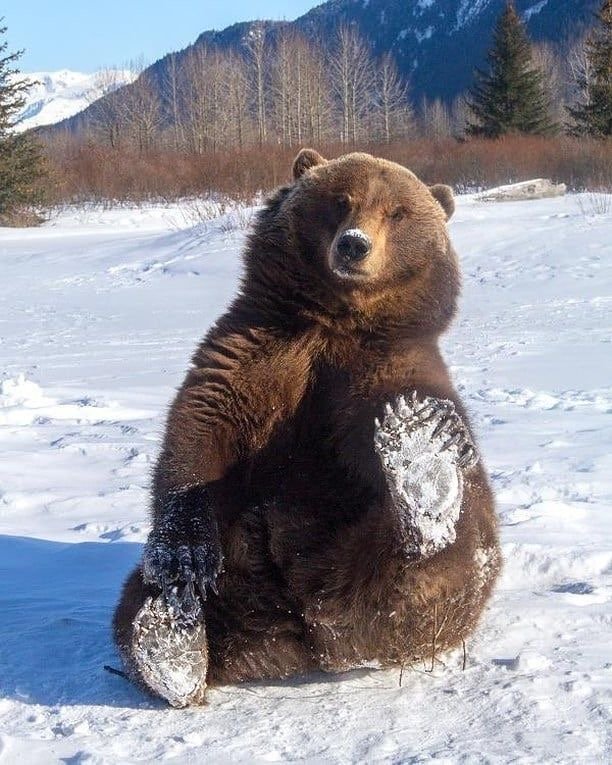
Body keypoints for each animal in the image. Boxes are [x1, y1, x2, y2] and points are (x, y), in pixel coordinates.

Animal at [113, 149, 501, 707]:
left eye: (398, 212)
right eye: (341, 200)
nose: (354, 244)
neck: (332, 321)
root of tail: (306, 635)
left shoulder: (380, 370)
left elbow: (373, 441)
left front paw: (423, 437)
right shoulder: (252, 354)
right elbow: (198, 437)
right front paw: (185, 558)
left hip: (399, 578)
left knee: (443, 560)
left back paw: (423, 479)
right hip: (238, 573)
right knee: (137, 600)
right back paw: (171, 639)